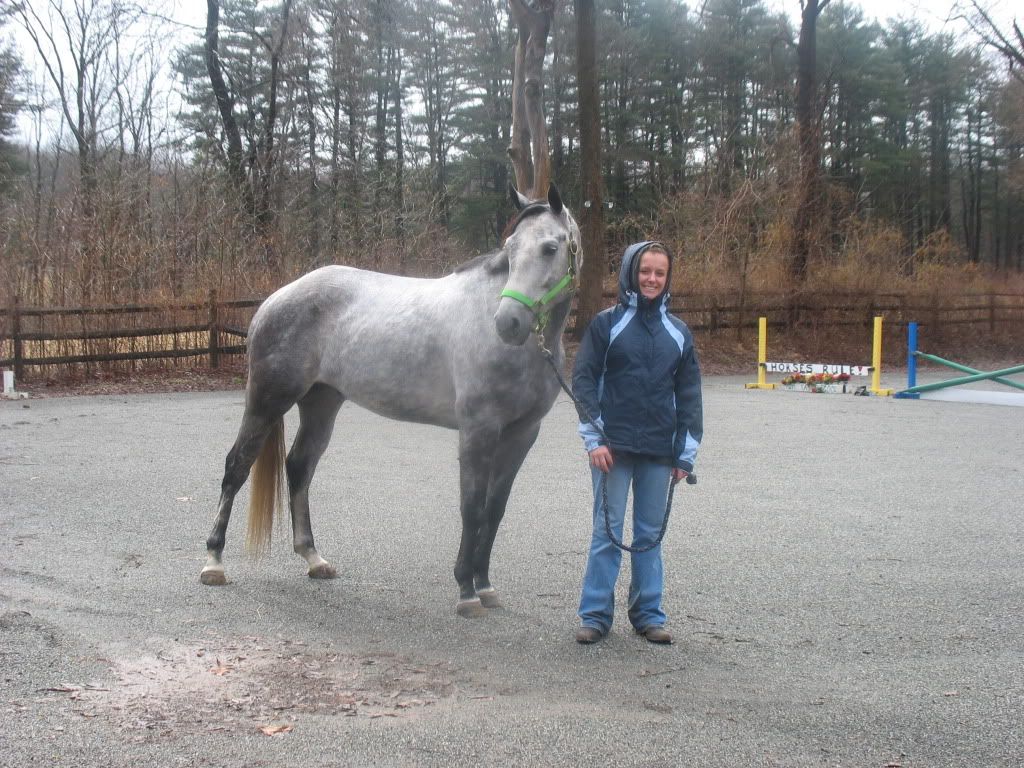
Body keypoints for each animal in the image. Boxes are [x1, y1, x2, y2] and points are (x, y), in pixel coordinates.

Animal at [202, 188, 581, 618]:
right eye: (510, 248)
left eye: (550, 247)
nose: (508, 323)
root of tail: (273, 301)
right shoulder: (477, 431)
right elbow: (472, 508)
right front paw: (466, 592)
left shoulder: (522, 435)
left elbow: (494, 509)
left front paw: (485, 586)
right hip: (267, 401)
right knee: (237, 466)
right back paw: (213, 563)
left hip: (322, 403)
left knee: (299, 467)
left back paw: (314, 559)